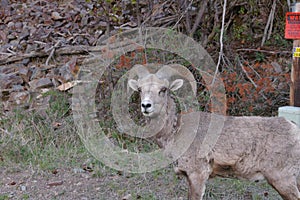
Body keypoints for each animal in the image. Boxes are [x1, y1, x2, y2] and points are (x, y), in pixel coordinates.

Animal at [127, 64, 300, 200]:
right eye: (140, 89)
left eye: (163, 89)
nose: (146, 106)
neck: (175, 133)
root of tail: (294, 129)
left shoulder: (198, 176)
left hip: (283, 180)